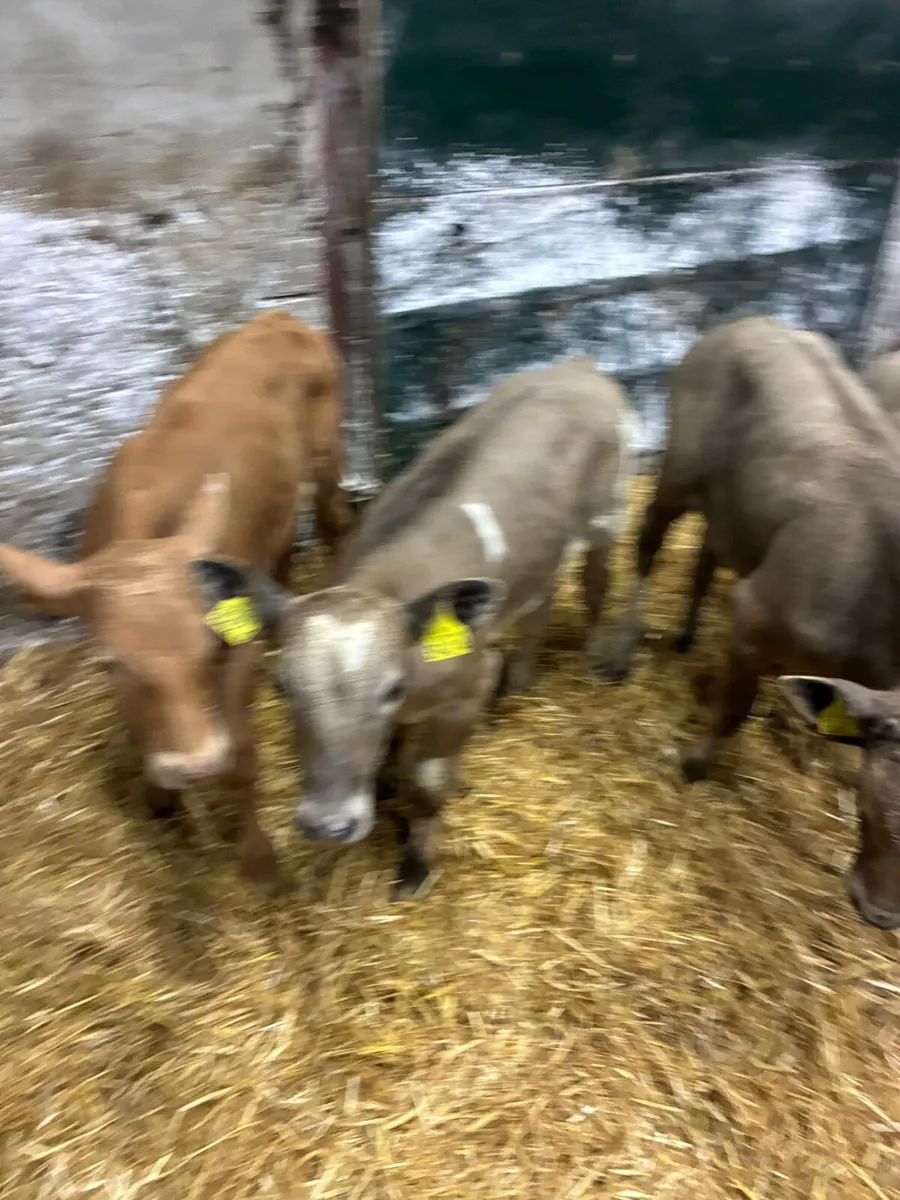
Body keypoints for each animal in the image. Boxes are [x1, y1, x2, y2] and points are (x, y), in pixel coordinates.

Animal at [0, 309, 354, 891]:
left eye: (211, 645)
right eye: (109, 664)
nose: (195, 764)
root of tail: (278, 318)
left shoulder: (238, 651)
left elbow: (242, 756)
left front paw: (260, 862)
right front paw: (161, 799)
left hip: (328, 456)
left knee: (334, 523)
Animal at [205, 356, 637, 898]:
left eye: (393, 688)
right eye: (282, 687)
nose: (329, 824)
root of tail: (578, 367)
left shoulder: (469, 682)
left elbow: (427, 780)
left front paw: (416, 863)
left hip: (608, 513)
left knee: (598, 581)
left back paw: (597, 658)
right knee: (542, 599)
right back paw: (518, 684)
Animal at [602, 314, 900, 929]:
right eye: (879, 803)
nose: (882, 915)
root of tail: (750, 323)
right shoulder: (752, 616)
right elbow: (735, 707)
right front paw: (694, 763)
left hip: (730, 506)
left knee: (705, 555)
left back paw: (687, 633)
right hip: (679, 468)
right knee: (648, 541)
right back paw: (621, 649)